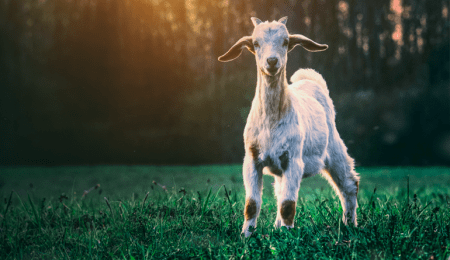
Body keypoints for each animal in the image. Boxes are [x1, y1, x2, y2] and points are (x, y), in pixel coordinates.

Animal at [217, 15, 358, 237]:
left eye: (285, 42)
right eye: (255, 44)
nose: (272, 61)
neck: (271, 121)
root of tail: (311, 82)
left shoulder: (294, 160)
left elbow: (288, 204)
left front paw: (288, 237)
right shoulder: (252, 159)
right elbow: (252, 204)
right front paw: (246, 235)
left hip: (334, 148)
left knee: (349, 184)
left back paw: (349, 225)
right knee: (280, 190)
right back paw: (277, 227)